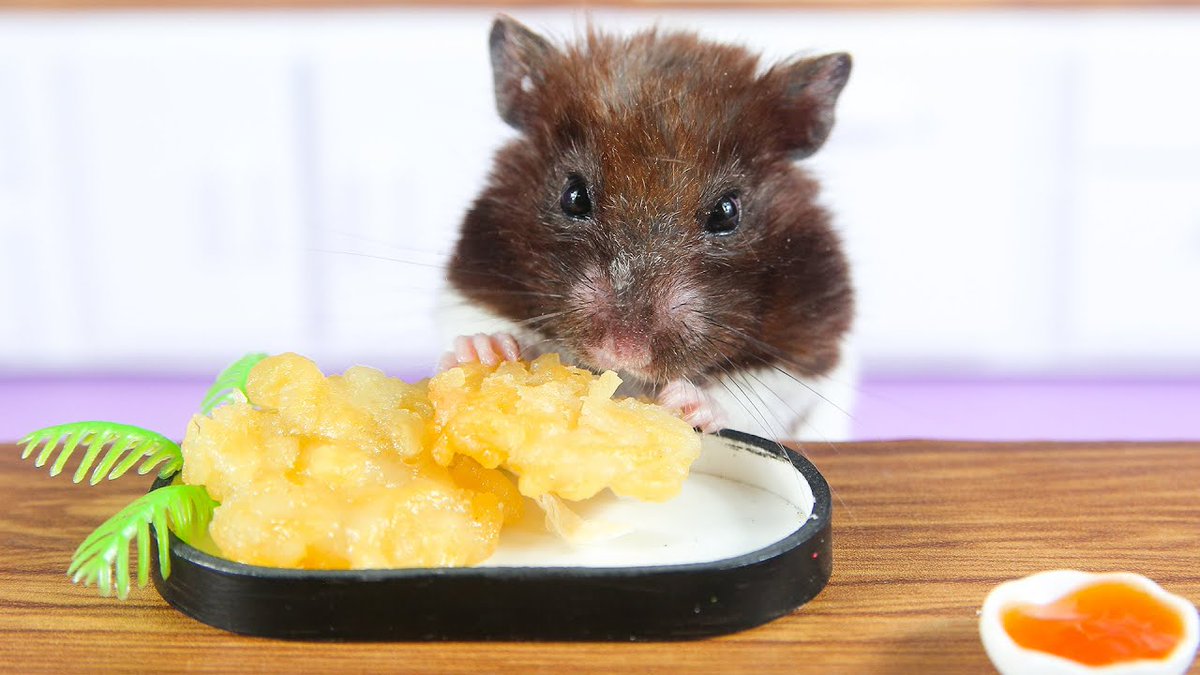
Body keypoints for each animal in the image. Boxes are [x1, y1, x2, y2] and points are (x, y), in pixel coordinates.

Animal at [438, 15, 857, 441]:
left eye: (726, 212)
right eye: (573, 196)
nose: (623, 351)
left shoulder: (811, 348)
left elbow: (757, 391)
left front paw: (686, 404)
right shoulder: (472, 276)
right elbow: (469, 318)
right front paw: (487, 350)